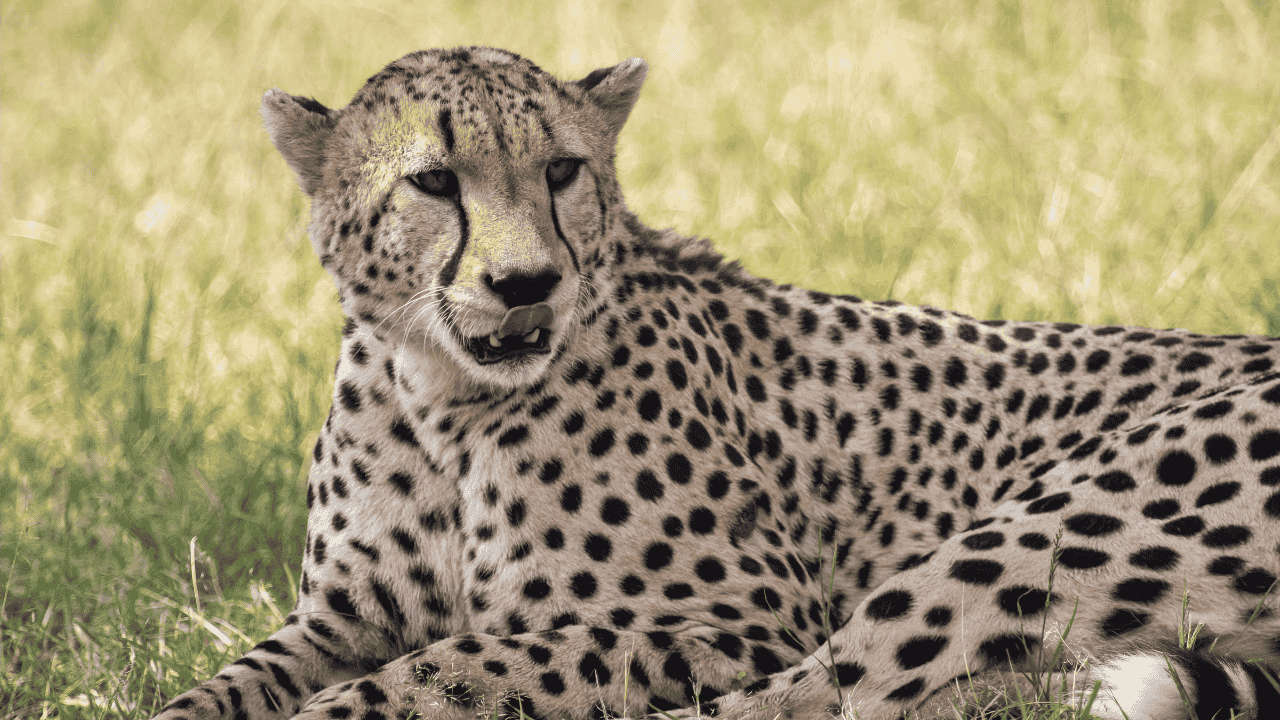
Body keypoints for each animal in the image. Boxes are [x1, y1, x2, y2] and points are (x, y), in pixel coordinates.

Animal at [152, 46, 1280, 720]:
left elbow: (468, 661)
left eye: (561, 171)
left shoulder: (742, 615)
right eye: (433, 180)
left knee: (827, 701)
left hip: (1039, 531)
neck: (438, 398)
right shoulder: (338, 620)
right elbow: (230, 683)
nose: (525, 283)